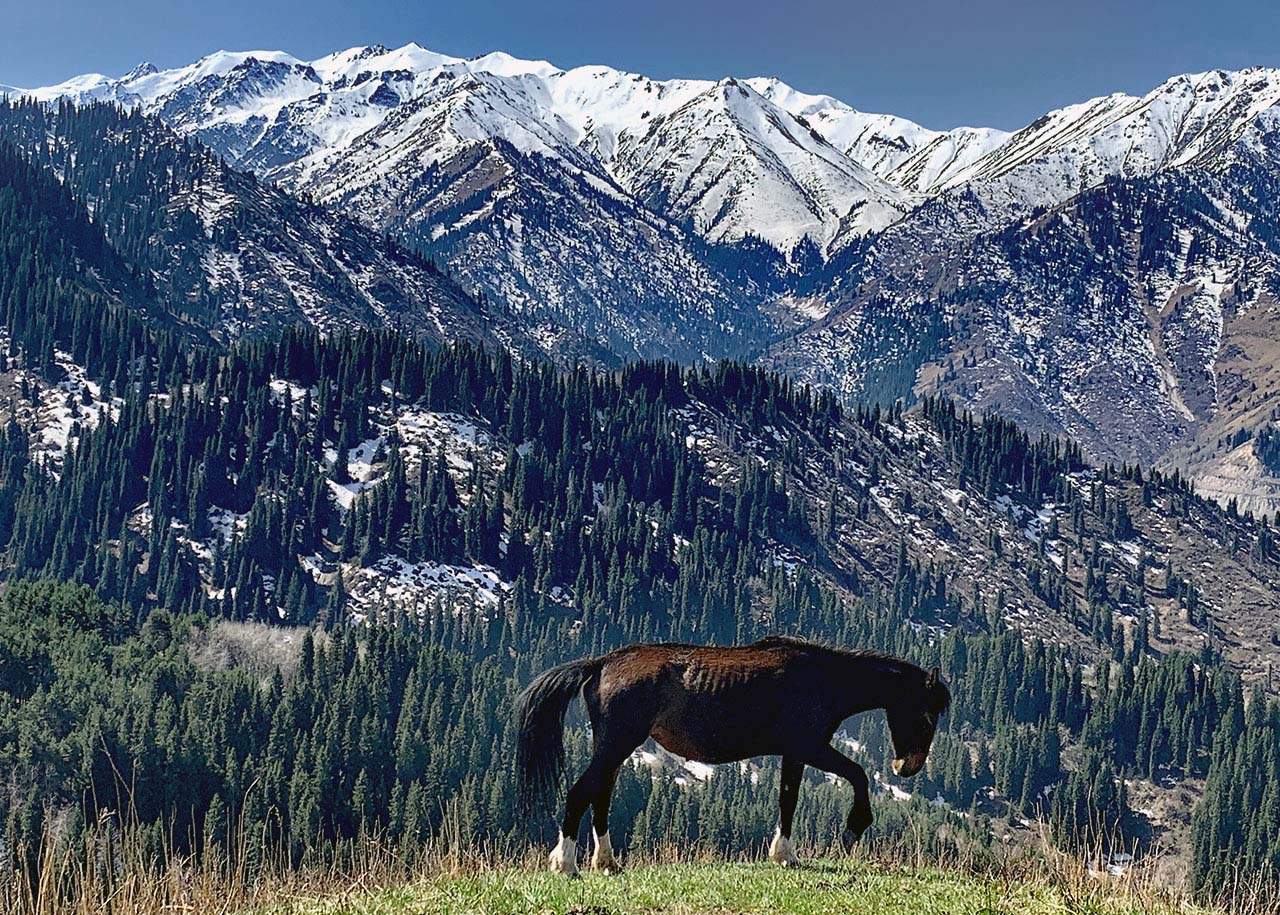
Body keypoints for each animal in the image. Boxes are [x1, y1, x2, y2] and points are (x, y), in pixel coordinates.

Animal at [515, 635, 951, 875]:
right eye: (926, 714)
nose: (907, 767)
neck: (822, 679)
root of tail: (602, 664)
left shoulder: (794, 754)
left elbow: (788, 801)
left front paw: (784, 855)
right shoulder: (809, 747)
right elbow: (857, 774)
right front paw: (853, 828)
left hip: (613, 748)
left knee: (600, 796)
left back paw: (605, 862)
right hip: (616, 744)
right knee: (580, 793)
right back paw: (566, 864)